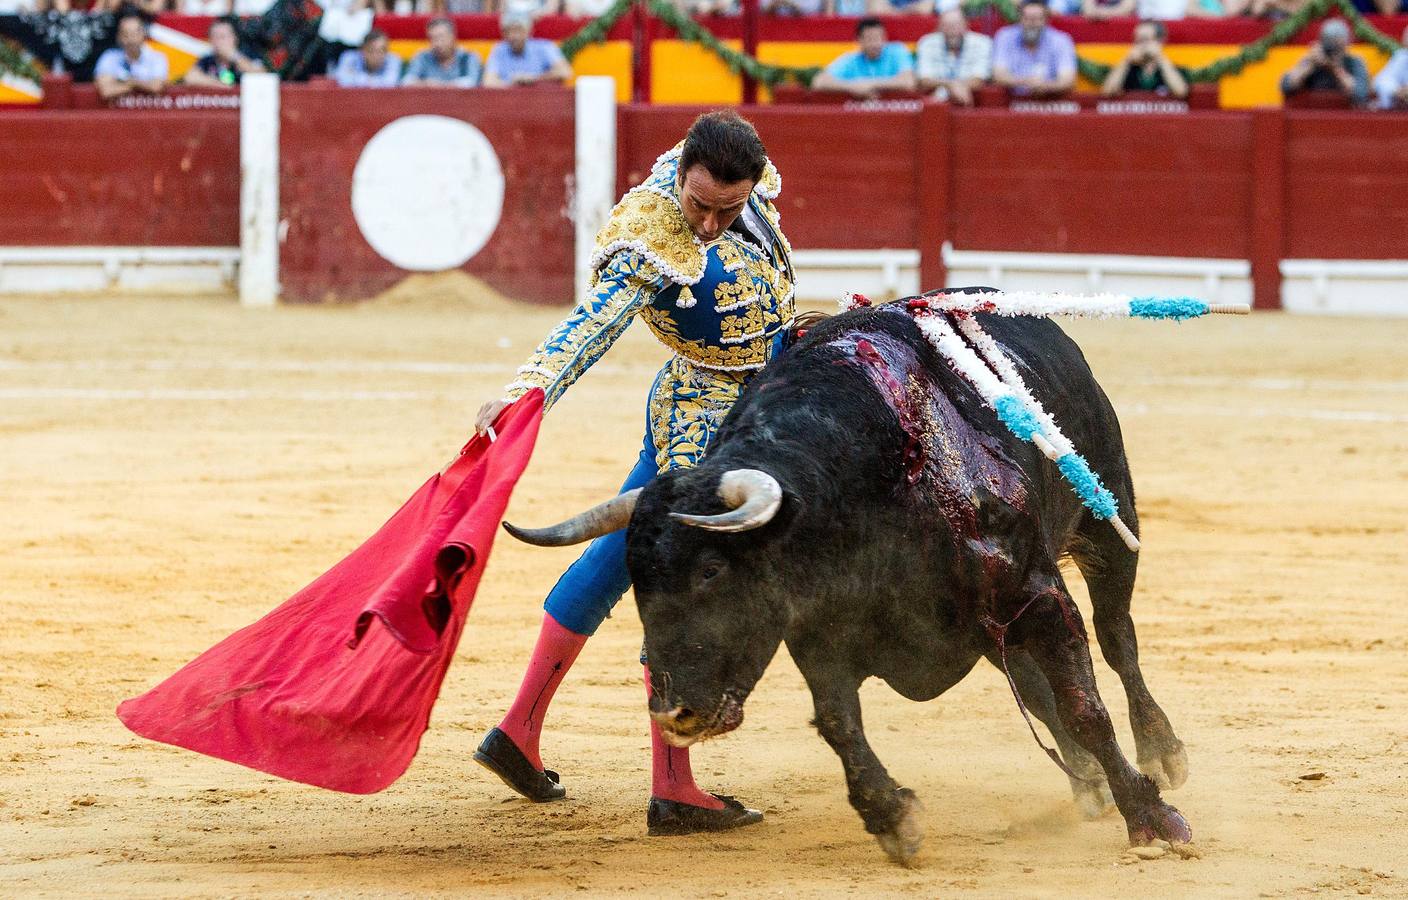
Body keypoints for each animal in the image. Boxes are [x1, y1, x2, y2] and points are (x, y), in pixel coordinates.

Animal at [506, 302, 1188, 867]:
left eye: (711, 570)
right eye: (638, 579)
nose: (673, 711)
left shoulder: (1038, 595)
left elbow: (1085, 707)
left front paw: (1152, 818)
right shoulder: (819, 631)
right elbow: (839, 722)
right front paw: (893, 818)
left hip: (1108, 521)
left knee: (1117, 639)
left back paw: (1162, 752)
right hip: (994, 626)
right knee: (1036, 686)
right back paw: (1086, 783)